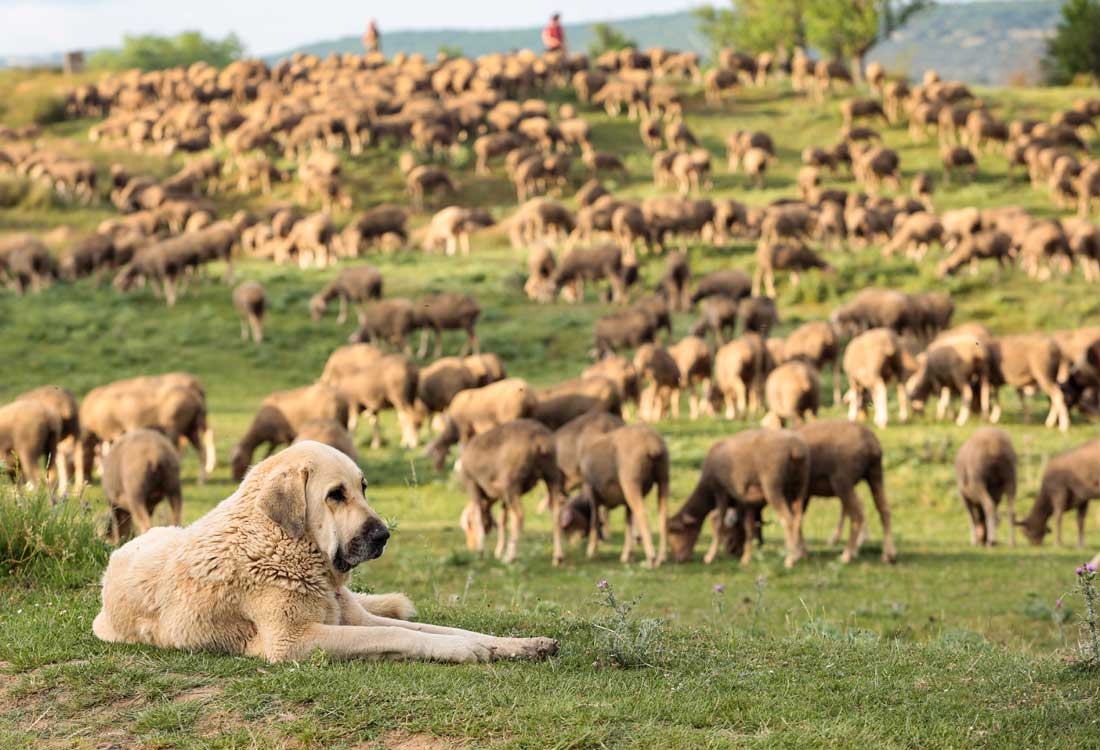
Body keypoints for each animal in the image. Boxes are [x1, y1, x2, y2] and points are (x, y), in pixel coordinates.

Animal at [92, 437, 558, 659]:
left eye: (363, 488)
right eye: (336, 495)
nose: (383, 535)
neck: (283, 544)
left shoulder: (354, 617)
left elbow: (442, 629)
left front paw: (516, 645)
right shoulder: (292, 640)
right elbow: (398, 634)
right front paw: (465, 652)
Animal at [660, 428, 809, 563]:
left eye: (676, 531)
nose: (678, 559)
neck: (707, 491)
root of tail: (795, 449)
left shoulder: (720, 491)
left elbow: (719, 523)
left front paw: (710, 556)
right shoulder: (745, 502)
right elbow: (748, 527)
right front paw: (746, 558)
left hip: (773, 486)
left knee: (788, 520)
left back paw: (790, 559)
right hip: (798, 487)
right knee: (798, 519)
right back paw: (799, 554)